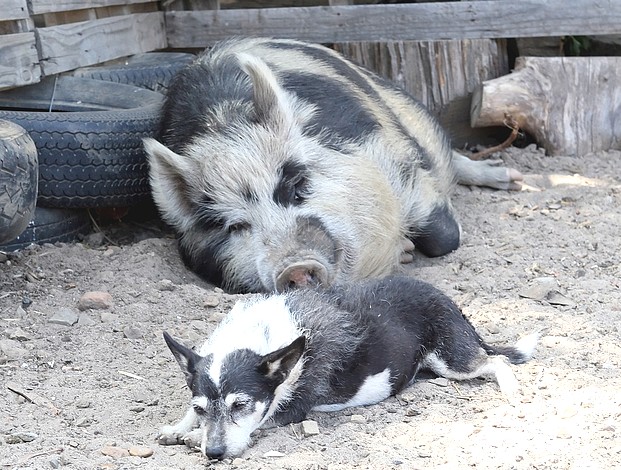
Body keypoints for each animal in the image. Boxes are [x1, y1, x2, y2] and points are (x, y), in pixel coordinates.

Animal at [143, 37, 520, 294]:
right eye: (235, 226)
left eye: (296, 186)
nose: (294, 266)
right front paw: (406, 253)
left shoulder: (396, 157)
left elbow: (445, 237)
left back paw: (512, 178)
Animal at [157, 276, 536, 458]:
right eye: (201, 408)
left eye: (241, 405)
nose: (214, 453)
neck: (261, 336)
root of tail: (451, 302)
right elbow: (188, 416)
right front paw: (181, 428)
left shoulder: (292, 409)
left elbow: (262, 420)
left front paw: (193, 437)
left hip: (452, 360)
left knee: (496, 360)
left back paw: (511, 390)